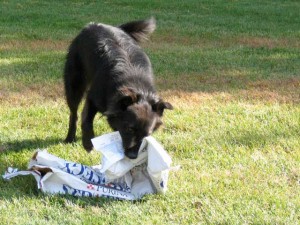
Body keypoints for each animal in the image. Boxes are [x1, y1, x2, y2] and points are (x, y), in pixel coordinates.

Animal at [63, 17, 172, 159]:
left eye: (147, 135)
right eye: (130, 128)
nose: (132, 156)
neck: (135, 86)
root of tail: (95, 25)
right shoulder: (93, 97)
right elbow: (86, 119)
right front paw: (88, 143)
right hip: (74, 84)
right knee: (73, 113)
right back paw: (69, 138)